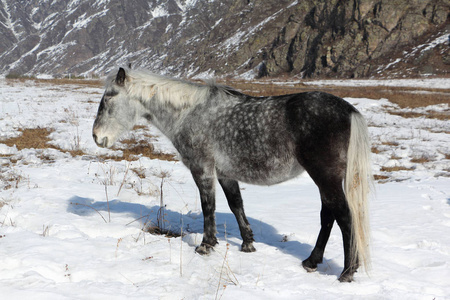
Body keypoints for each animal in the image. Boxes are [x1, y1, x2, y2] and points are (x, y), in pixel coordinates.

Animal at [92, 67, 372, 282]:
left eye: (109, 97)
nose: (97, 137)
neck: (189, 113)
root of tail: (348, 110)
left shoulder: (203, 169)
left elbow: (209, 206)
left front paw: (206, 244)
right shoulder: (226, 173)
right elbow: (236, 204)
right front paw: (248, 243)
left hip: (326, 177)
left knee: (344, 217)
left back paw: (347, 271)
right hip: (325, 180)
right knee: (328, 216)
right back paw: (312, 261)